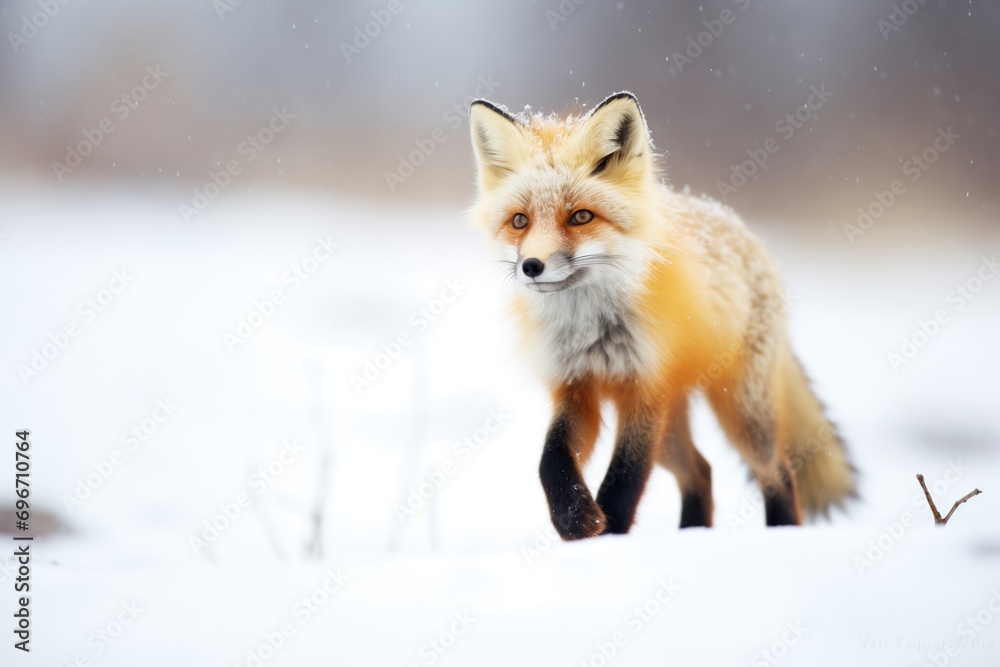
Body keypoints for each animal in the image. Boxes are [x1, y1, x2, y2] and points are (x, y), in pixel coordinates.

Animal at [467, 91, 856, 540]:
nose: (531, 266)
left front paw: (609, 536)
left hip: (739, 413)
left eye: (580, 216)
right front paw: (573, 517)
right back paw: (692, 535)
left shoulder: (645, 389)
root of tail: (739, 226)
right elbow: (552, 459)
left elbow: (624, 479)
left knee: (778, 472)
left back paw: (780, 535)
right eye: (520, 221)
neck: (591, 328)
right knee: (700, 471)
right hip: (675, 426)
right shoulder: (575, 387)